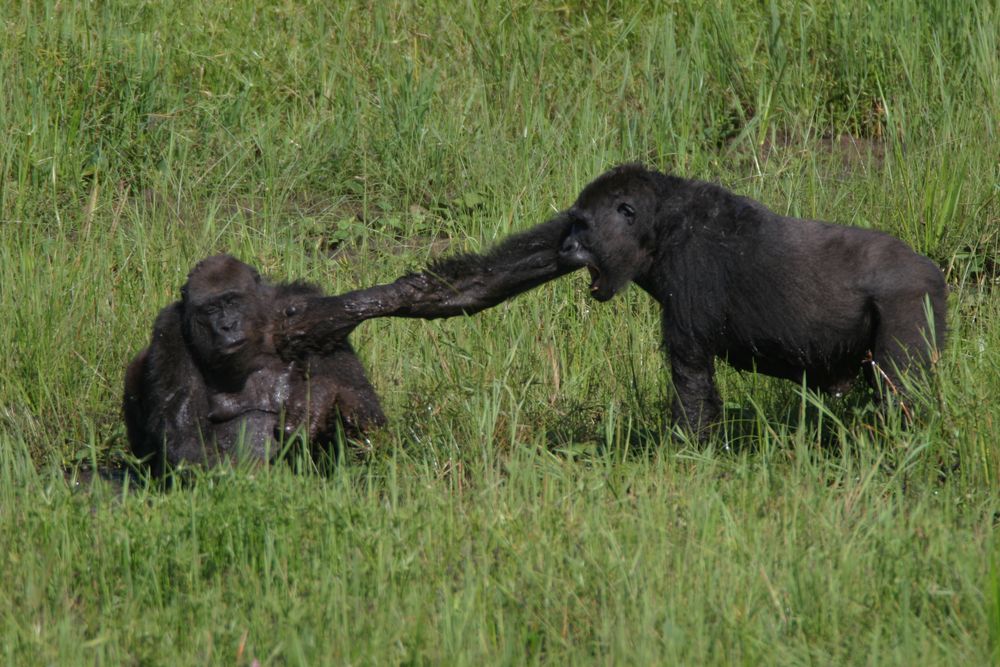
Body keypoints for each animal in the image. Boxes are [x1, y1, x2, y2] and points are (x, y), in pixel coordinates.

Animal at [122, 253, 386, 478]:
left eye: (233, 302)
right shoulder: (170, 329)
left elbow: (363, 402)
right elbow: (184, 435)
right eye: (211, 309)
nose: (228, 326)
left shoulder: (309, 307)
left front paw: (318, 398)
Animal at [560, 162, 948, 434]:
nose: (564, 247)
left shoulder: (690, 266)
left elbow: (691, 380)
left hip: (911, 296)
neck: (661, 222)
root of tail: (932, 269)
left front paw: (685, 451)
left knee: (900, 393)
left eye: (582, 224)